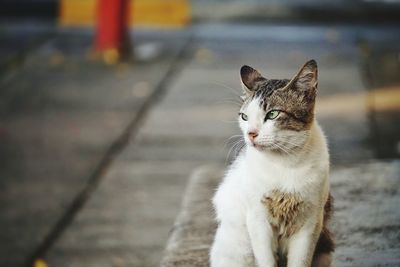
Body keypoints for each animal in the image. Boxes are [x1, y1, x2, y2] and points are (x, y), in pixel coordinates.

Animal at [209, 60, 334, 267]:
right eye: (244, 117)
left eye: (273, 114)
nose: (250, 133)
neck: (285, 163)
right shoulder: (258, 220)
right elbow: (266, 259)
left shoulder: (310, 222)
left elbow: (300, 261)